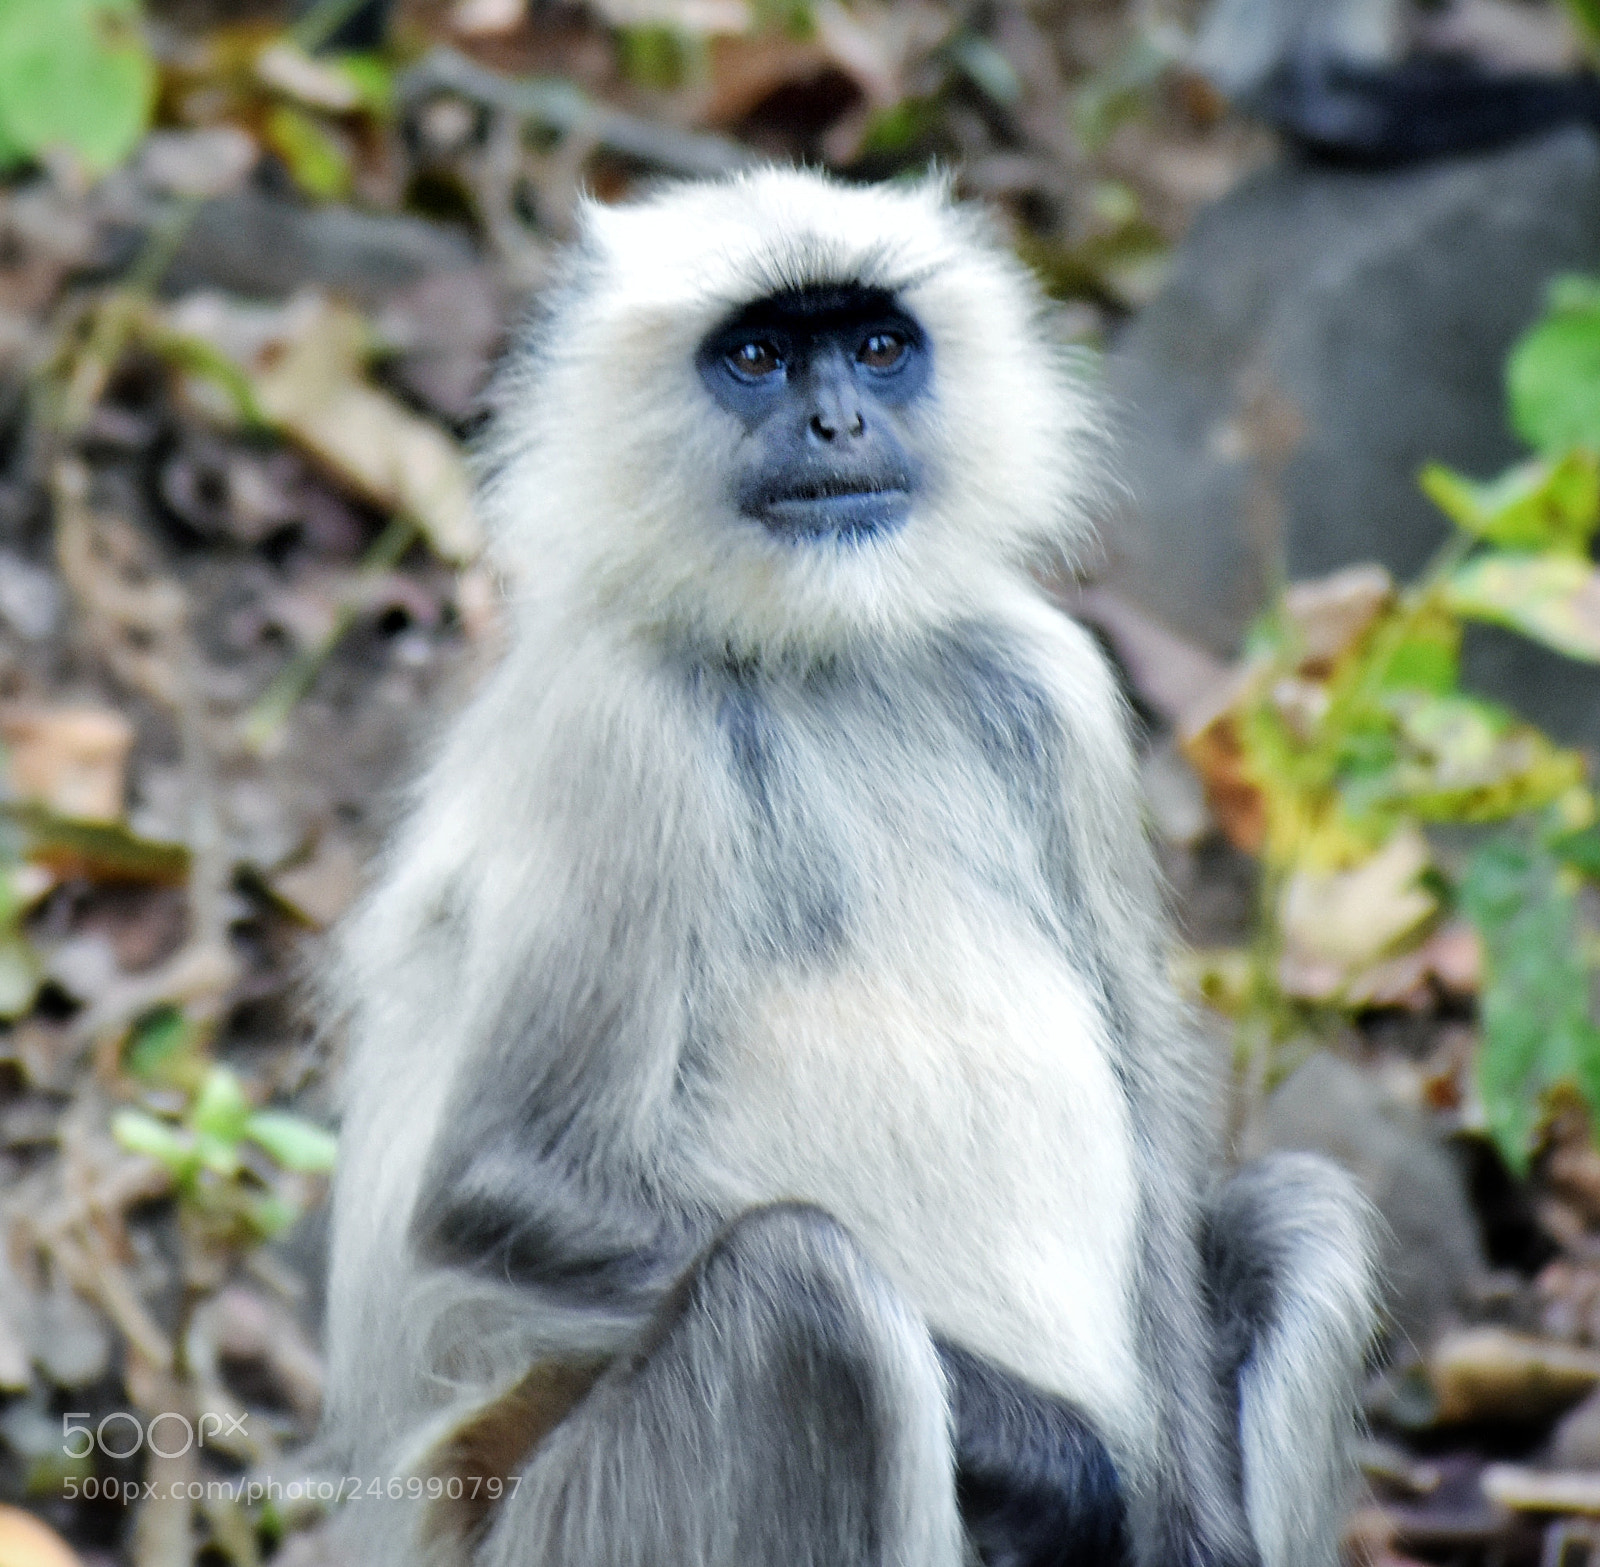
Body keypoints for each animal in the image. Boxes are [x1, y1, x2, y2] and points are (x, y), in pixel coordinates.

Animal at [319, 167, 1377, 1567]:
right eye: (758, 358)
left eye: (877, 347)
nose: (835, 421)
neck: (814, 658)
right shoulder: (622, 724)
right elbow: (508, 1183)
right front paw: (1064, 1470)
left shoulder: (1056, 687)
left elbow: (1146, 1104)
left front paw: (1184, 1526)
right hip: (579, 1525)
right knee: (806, 1296)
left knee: (1302, 1216)